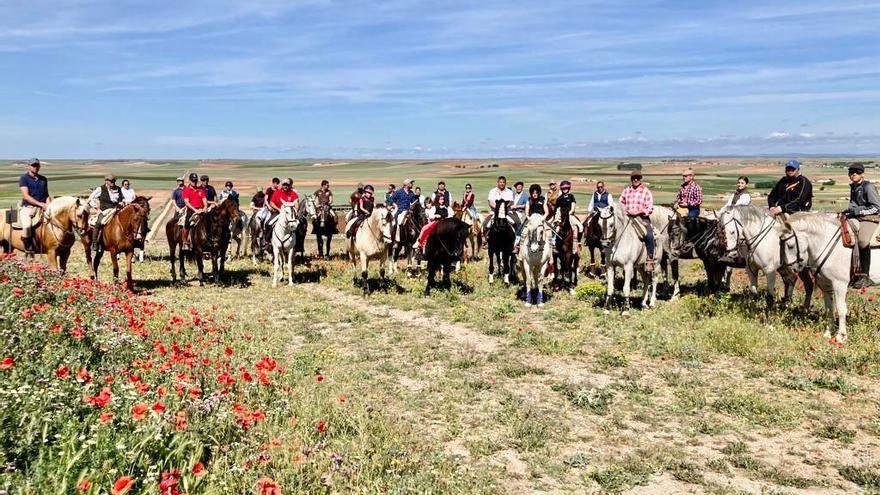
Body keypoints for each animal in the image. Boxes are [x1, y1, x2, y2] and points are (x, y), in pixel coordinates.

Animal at [780, 213, 848, 344]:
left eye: (790, 246)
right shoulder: (826, 285)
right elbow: (829, 308)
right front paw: (828, 333)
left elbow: (841, 309)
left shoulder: (840, 285)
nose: (791, 269)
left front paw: (840, 336)